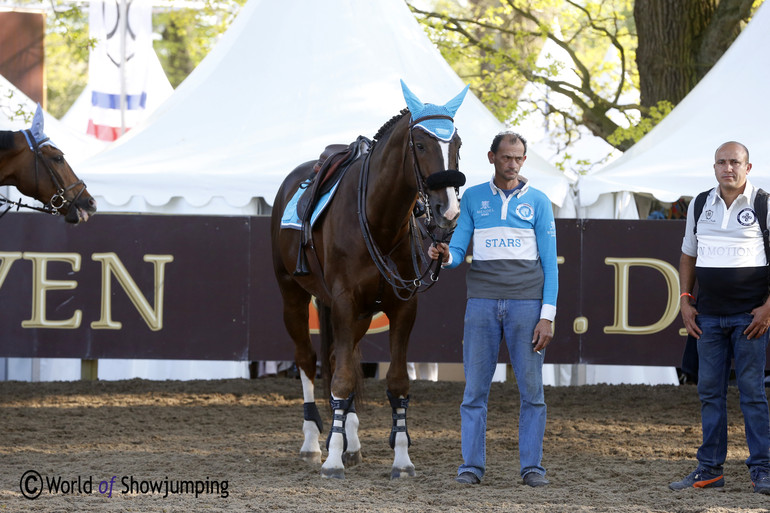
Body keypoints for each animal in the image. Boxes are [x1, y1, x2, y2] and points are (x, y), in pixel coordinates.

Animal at [270, 82, 468, 478]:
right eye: (419, 144)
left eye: (457, 143)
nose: (449, 210)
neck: (380, 221)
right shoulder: (345, 302)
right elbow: (342, 379)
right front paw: (331, 459)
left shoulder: (402, 307)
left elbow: (395, 382)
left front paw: (401, 459)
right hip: (293, 294)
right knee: (307, 360)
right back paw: (313, 442)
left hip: (358, 314)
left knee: (337, 358)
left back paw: (350, 439)